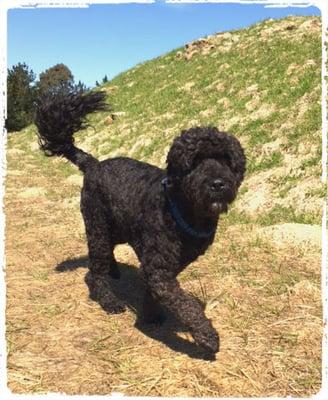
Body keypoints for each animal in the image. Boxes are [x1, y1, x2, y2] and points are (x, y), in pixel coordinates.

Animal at [36, 90, 246, 354]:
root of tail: (94, 164)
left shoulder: (166, 265)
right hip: (97, 227)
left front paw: (150, 315)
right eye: (194, 162)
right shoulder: (159, 268)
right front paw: (206, 334)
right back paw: (108, 300)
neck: (181, 209)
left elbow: (156, 291)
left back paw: (114, 270)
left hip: (116, 227)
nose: (218, 184)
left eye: (226, 160)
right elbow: (185, 303)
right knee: (94, 271)